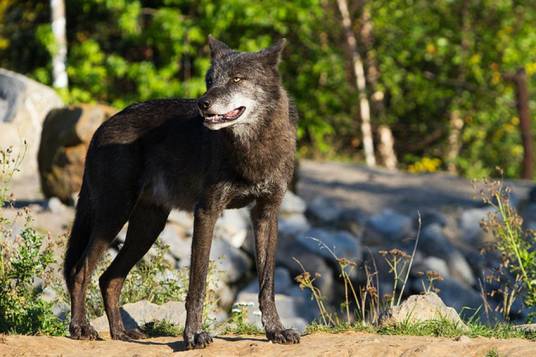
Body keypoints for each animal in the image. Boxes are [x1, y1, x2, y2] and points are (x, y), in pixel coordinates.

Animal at [63, 36, 302, 348]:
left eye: (237, 79)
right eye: (209, 80)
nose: (203, 103)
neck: (252, 148)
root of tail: (102, 127)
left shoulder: (266, 214)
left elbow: (267, 282)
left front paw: (276, 331)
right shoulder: (207, 212)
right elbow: (197, 282)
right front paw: (193, 335)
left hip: (146, 229)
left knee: (109, 278)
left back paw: (120, 333)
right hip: (114, 217)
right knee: (80, 271)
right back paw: (81, 328)